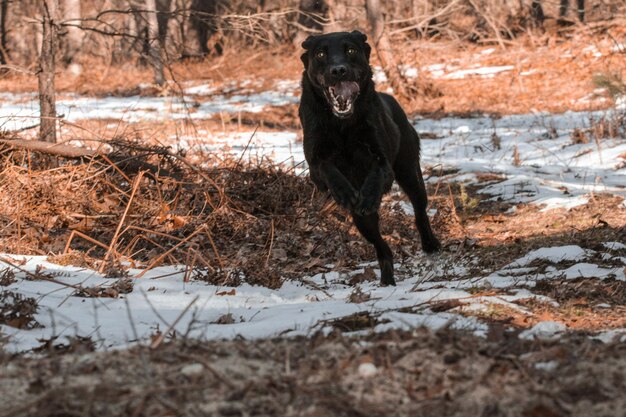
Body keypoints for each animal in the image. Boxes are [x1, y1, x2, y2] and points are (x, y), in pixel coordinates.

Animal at [298, 30, 438, 286]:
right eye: (320, 54)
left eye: (351, 50)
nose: (339, 70)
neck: (341, 124)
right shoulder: (315, 167)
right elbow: (328, 169)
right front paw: (346, 193)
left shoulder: (382, 160)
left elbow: (376, 172)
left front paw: (368, 197)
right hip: (363, 222)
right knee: (382, 247)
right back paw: (387, 280)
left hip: (410, 173)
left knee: (419, 210)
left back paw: (430, 244)